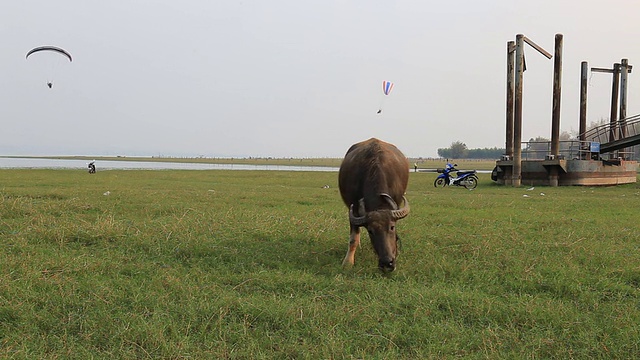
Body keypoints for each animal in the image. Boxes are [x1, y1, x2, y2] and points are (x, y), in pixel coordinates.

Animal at [340, 139, 410, 272]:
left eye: (392, 227)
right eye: (370, 231)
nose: (387, 263)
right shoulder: (353, 209)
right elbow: (353, 239)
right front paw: (348, 262)